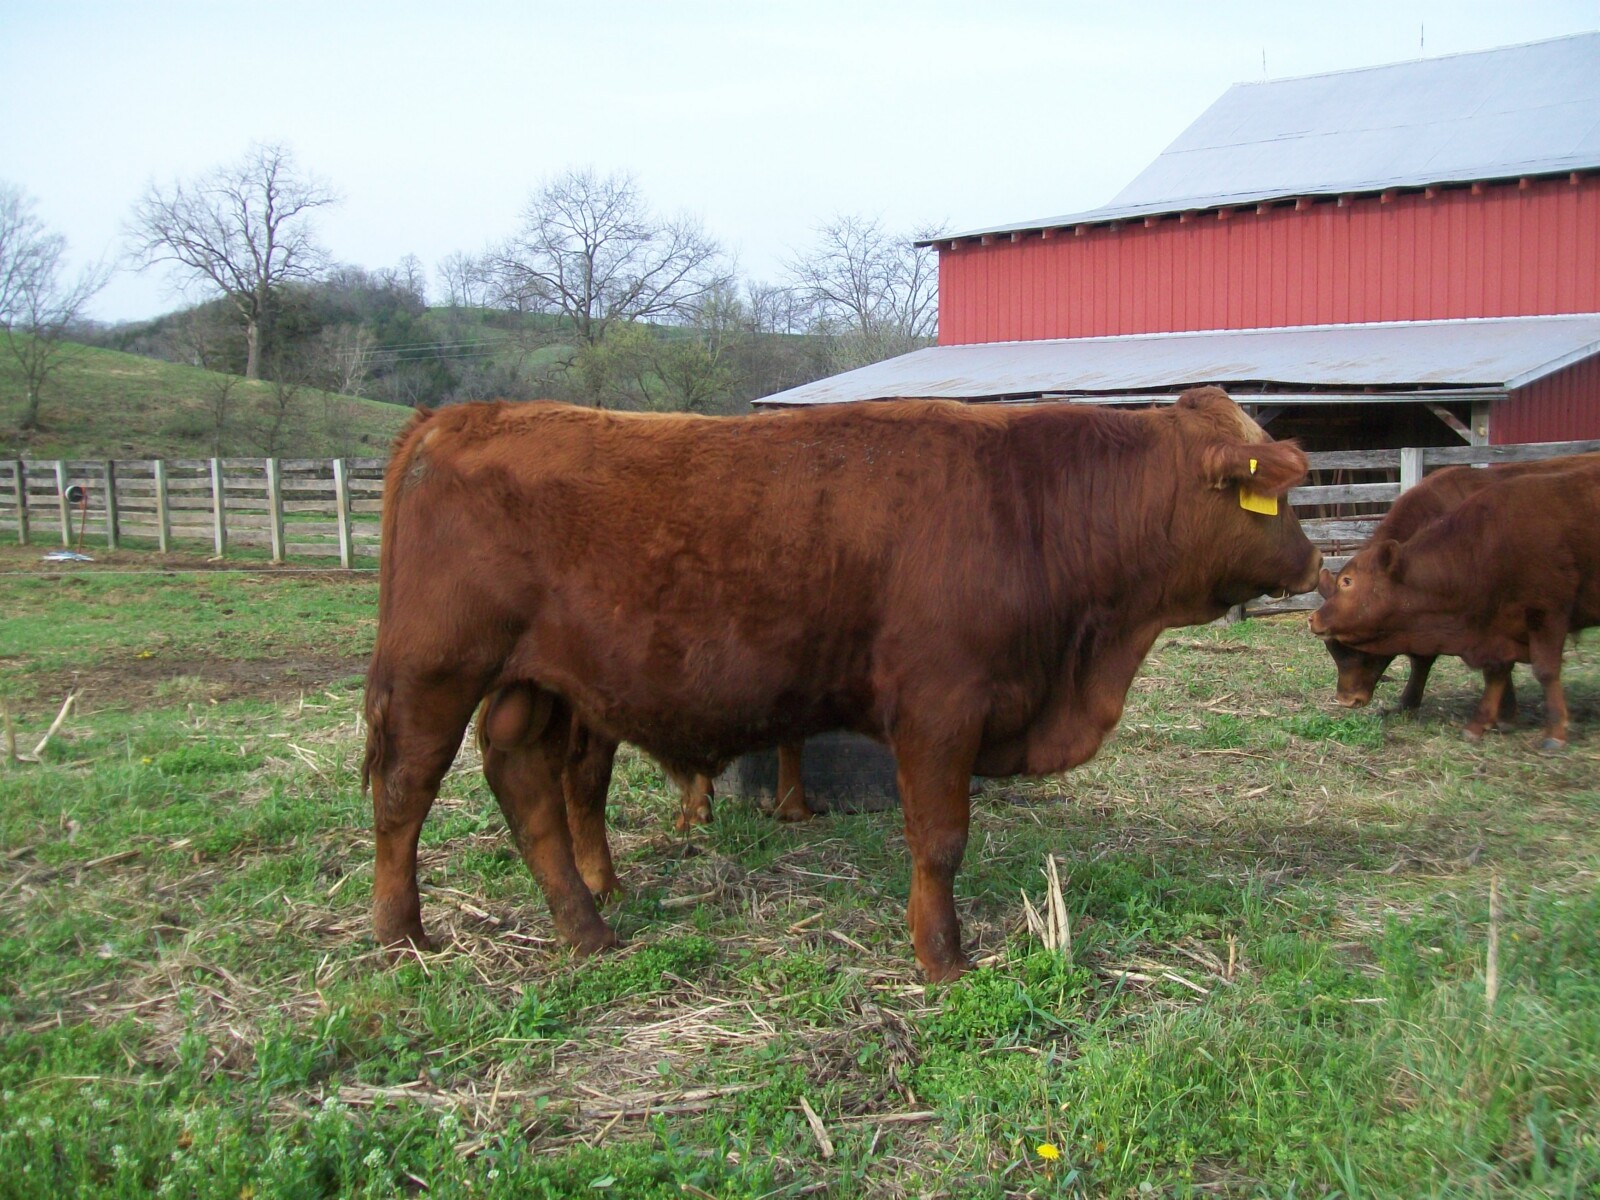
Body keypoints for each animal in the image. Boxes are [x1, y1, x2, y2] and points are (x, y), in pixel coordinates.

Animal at [362, 387, 1320, 981]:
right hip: (437, 667)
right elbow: (940, 840)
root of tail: (454, 418)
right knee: (407, 788)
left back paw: (587, 928)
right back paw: (401, 931)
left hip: (536, 684)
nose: (1315, 561)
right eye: (1274, 493)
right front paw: (943, 959)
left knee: (527, 782)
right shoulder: (940, 707)